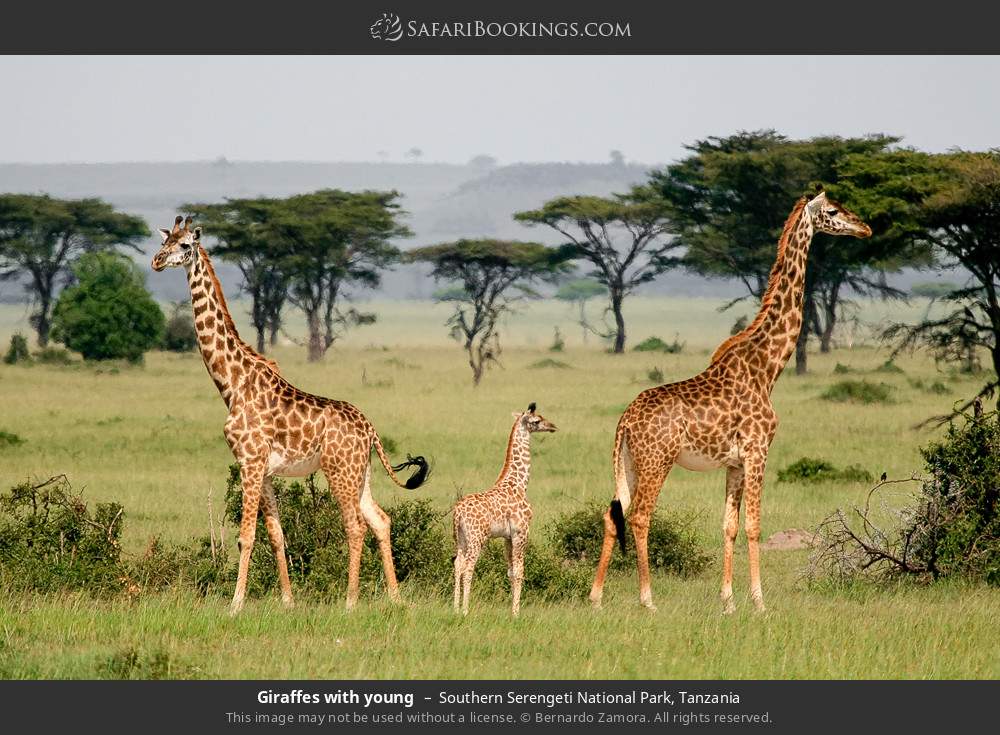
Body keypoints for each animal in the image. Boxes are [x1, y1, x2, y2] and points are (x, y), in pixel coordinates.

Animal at [151, 216, 429, 614]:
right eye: (165, 241)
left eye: (185, 245)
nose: (157, 261)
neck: (231, 383)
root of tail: (370, 429)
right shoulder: (264, 469)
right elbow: (276, 534)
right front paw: (287, 601)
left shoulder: (249, 461)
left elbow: (246, 536)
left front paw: (235, 604)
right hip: (361, 473)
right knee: (381, 521)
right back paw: (396, 598)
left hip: (339, 472)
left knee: (355, 526)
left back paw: (350, 601)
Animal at [452, 403, 557, 615]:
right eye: (537, 421)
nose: (552, 426)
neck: (519, 483)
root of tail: (457, 513)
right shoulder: (521, 532)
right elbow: (519, 571)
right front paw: (516, 613)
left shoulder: (507, 536)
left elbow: (510, 571)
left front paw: (511, 610)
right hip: (476, 538)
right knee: (468, 568)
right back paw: (465, 610)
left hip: (460, 539)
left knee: (457, 565)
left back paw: (455, 609)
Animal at [588, 191, 872, 614]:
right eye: (834, 211)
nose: (865, 228)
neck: (767, 367)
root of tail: (625, 420)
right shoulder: (758, 450)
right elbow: (753, 525)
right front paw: (759, 602)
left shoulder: (734, 463)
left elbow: (729, 525)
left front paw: (728, 601)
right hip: (657, 462)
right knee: (639, 517)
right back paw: (647, 599)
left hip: (630, 464)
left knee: (613, 515)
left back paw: (596, 597)